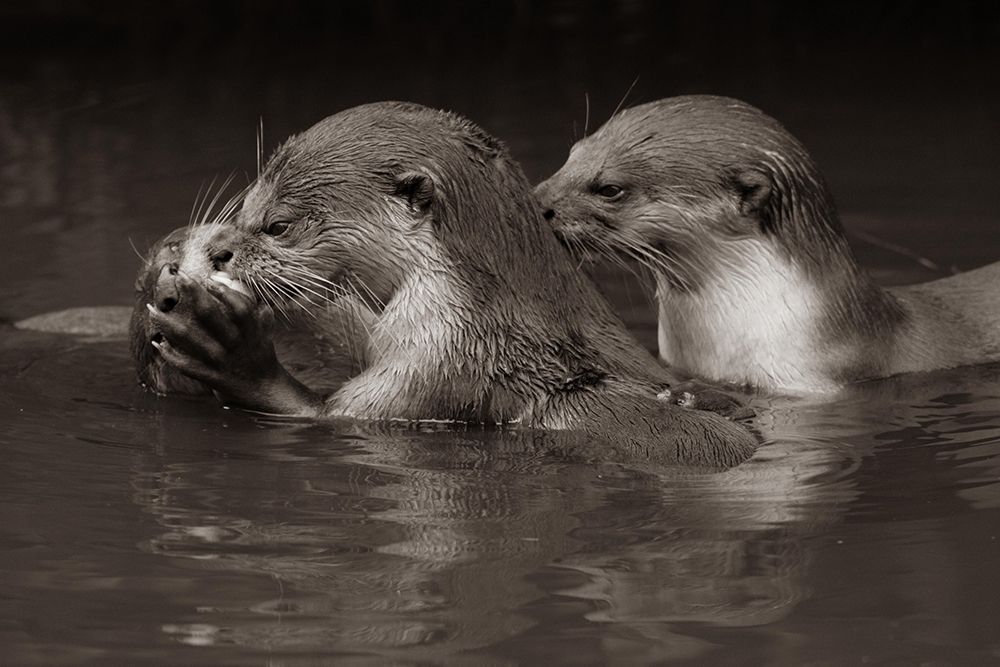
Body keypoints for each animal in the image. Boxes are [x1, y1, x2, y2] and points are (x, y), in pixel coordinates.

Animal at [143, 102, 756, 470]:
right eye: (246, 207)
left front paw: (227, 349)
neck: (474, 302)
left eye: (277, 225)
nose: (217, 249)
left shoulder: (446, 354)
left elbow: (332, 417)